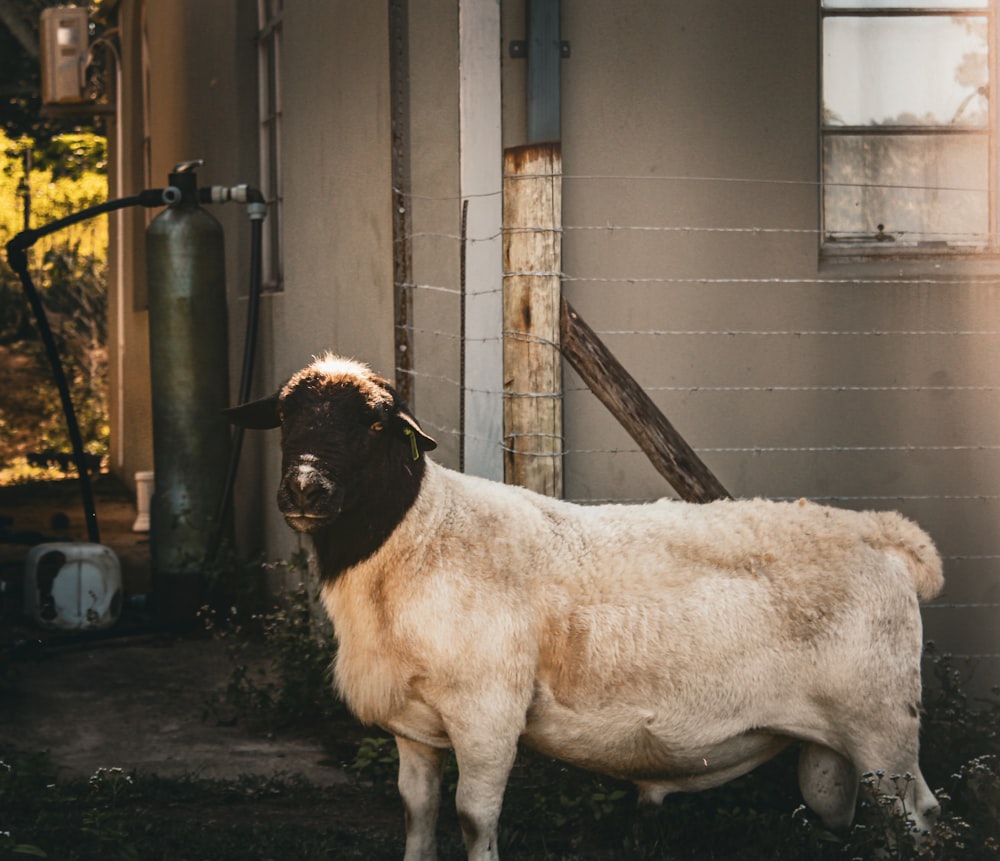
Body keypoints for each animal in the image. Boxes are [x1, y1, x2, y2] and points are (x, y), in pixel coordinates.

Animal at [227, 352, 944, 860]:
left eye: (375, 424)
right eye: (286, 418)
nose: (305, 488)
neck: (418, 538)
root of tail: (891, 536)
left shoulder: (488, 711)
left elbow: (473, 819)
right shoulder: (414, 726)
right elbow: (418, 817)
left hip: (882, 721)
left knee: (918, 822)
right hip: (836, 752)